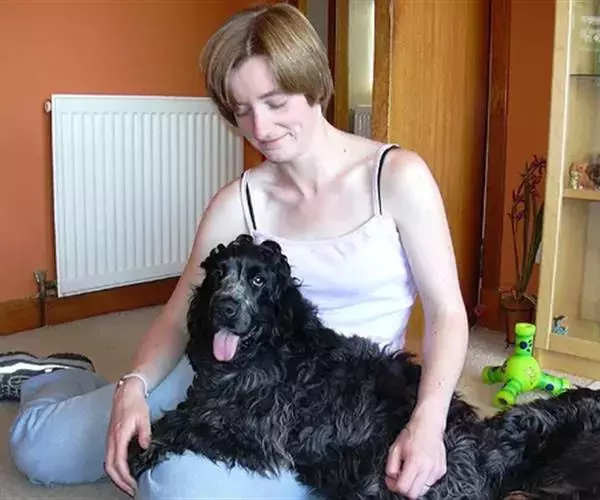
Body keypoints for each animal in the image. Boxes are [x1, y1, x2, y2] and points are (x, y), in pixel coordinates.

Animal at [128, 234, 600, 499]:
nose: (224, 307)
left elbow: (188, 425)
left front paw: (139, 449)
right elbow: (188, 411)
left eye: (258, 280)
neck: (264, 349)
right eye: (218, 275)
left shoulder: (260, 435)